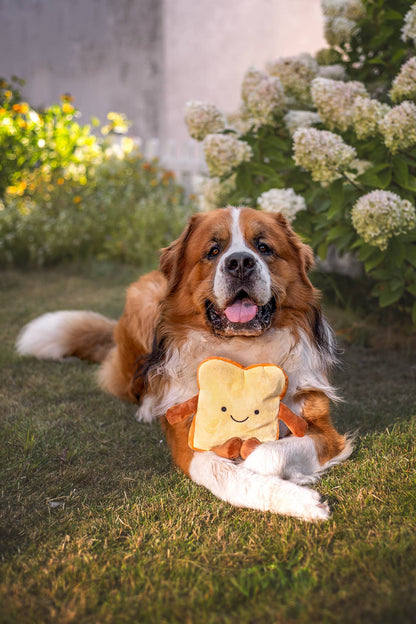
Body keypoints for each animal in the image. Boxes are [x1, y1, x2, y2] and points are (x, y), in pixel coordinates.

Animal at [17, 207, 352, 520]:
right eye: (213, 251)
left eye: (263, 247)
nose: (240, 263)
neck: (242, 350)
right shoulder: (188, 439)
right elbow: (225, 475)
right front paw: (299, 498)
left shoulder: (323, 430)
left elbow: (268, 455)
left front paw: (287, 478)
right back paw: (148, 407)